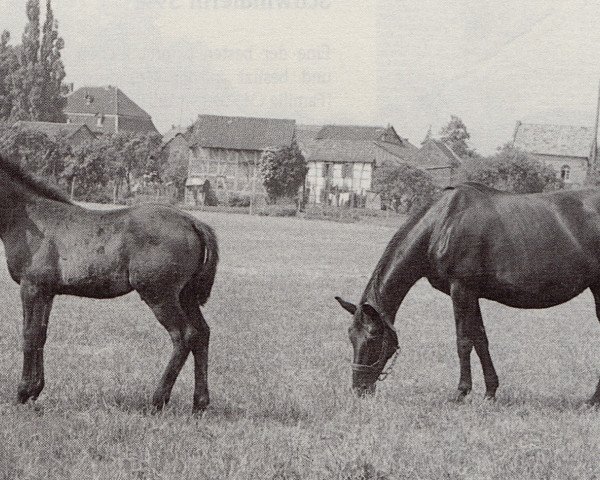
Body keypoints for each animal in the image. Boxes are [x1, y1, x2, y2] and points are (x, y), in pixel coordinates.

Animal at [0, 155, 219, 412]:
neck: (28, 217)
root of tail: (192, 221)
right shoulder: (46, 292)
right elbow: (40, 334)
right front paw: (35, 390)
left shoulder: (31, 287)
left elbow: (29, 335)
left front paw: (23, 392)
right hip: (185, 295)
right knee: (202, 334)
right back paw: (199, 403)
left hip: (159, 295)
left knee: (184, 335)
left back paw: (157, 400)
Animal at [336, 184, 600, 404]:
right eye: (350, 336)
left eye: (373, 337)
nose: (359, 389)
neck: (442, 224)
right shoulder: (472, 294)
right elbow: (480, 339)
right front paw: (490, 392)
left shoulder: (461, 289)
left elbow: (463, 341)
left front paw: (462, 392)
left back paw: (593, 401)